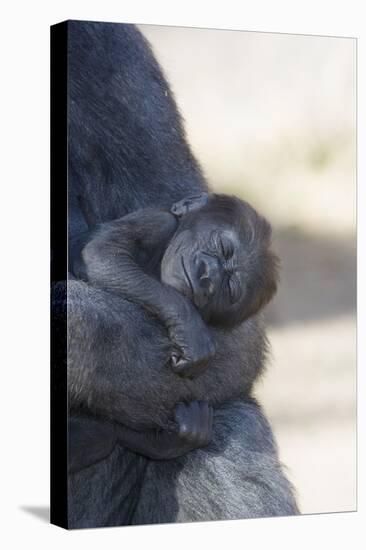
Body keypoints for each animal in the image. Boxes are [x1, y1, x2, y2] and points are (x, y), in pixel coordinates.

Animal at [51, 22, 298, 532]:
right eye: (218, 250)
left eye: (230, 279)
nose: (207, 276)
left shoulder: (107, 50)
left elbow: (239, 342)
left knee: (226, 419)